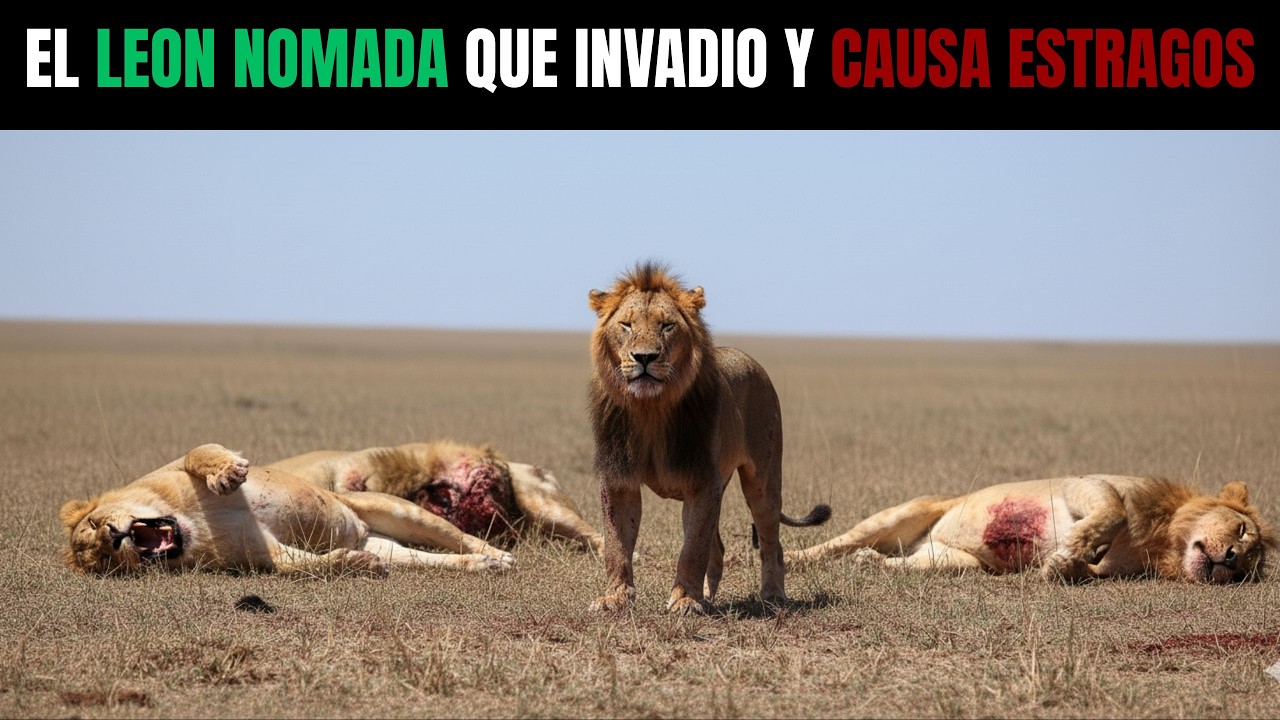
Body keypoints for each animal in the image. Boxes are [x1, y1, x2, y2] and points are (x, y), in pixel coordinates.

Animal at [60, 443, 516, 577]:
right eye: (103, 561)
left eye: (96, 522)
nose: (114, 538)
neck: (192, 527)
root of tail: (361, 528)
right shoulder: (263, 555)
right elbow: (298, 566)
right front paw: (354, 563)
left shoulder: (173, 466)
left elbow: (200, 452)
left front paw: (228, 474)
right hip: (390, 545)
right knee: (429, 559)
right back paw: (481, 566)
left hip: (387, 508)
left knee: (459, 536)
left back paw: (498, 555)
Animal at [586, 262, 831, 614]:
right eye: (626, 325)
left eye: (667, 326)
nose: (644, 357)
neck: (650, 409)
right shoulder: (619, 479)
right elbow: (616, 546)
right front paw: (615, 598)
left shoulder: (702, 482)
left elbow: (692, 550)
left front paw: (685, 600)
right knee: (717, 545)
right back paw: (708, 593)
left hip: (763, 481)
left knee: (771, 541)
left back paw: (772, 595)